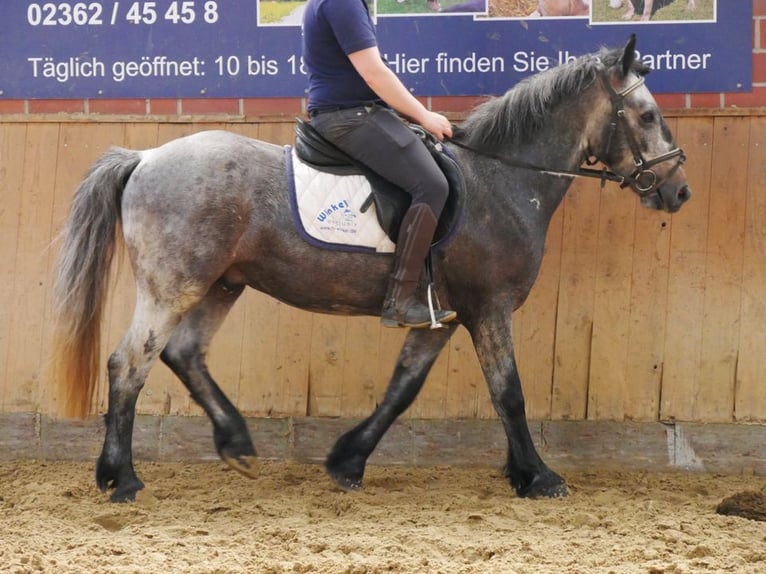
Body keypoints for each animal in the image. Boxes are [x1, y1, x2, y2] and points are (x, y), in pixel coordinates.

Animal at [51, 37, 692, 504]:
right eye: (647, 115)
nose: (679, 191)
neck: (502, 179)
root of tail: (144, 156)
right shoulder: (488, 307)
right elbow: (508, 392)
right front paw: (539, 477)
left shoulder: (441, 317)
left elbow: (402, 389)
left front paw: (347, 461)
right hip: (173, 285)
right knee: (129, 364)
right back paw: (121, 478)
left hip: (222, 283)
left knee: (184, 354)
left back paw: (236, 444)